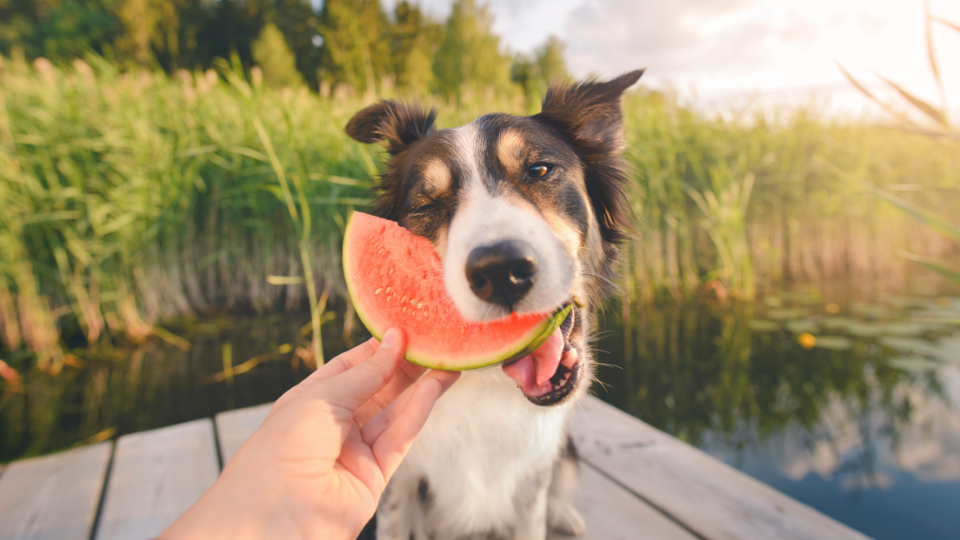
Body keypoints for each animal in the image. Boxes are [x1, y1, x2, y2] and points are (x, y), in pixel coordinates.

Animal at [346, 69, 644, 536]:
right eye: (427, 205)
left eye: (539, 170)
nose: (501, 271)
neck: (487, 386)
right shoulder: (400, 480)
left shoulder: (533, 484)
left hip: (567, 455)